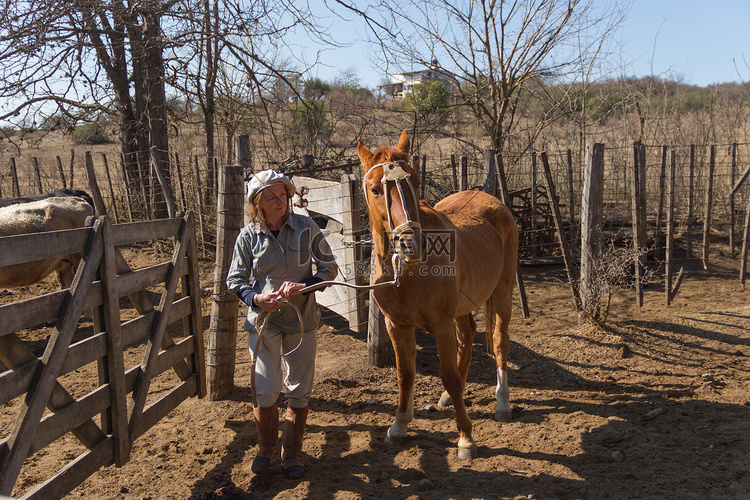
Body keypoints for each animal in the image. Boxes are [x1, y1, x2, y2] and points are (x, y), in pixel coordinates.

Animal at [358, 131, 516, 458]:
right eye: (376, 189)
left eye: (416, 182)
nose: (411, 244)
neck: (405, 273)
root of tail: (494, 201)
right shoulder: (397, 325)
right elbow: (405, 375)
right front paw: (399, 426)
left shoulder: (441, 326)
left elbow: (451, 378)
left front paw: (465, 437)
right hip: (463, 308)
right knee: (468, 333)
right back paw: (446, 397)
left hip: (502, 294)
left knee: (499, 340)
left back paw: (502, 402)